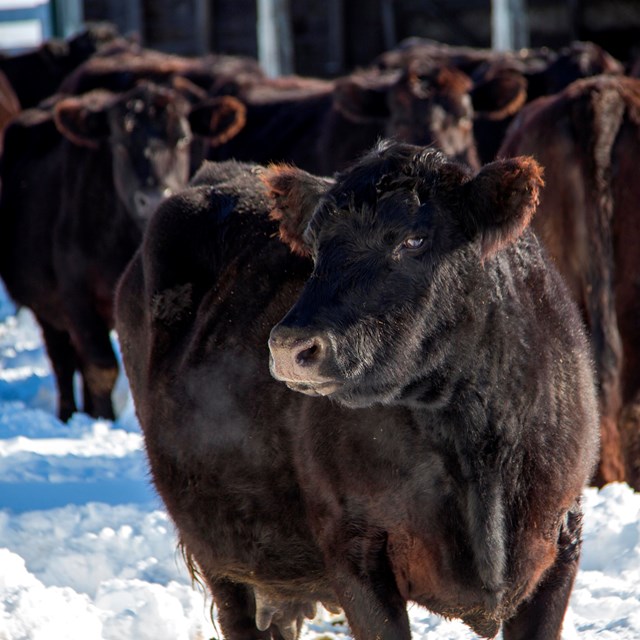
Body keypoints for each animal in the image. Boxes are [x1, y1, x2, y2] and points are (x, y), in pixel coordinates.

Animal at [0, 80, 232, 422]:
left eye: (183, 138)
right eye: (120, 144)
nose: (153, 198)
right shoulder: (75, 294)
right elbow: (101, 366)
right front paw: (105, 419)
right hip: (46, 307)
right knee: (63, 360)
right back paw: (69, 414)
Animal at [116, 144, 600, 640]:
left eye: (414, 240)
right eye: (315, 245)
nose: (289, 346)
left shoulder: (562, 539)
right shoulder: (354, 551)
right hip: (220, 554)